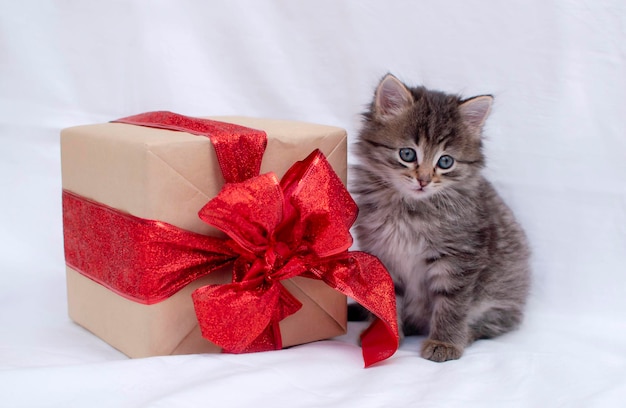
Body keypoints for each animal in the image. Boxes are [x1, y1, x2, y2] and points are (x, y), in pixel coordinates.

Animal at [348, 73, 528, 360]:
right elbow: (387, 301)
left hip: (502, 294)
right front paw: (385, 337)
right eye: (407, 154)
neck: (409, 209)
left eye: (445, 162)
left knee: (492, 324)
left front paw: (445, 343)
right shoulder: (383, 254)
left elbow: (451, 305)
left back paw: (465, 335)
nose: (423, 180)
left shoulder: (460, 258)